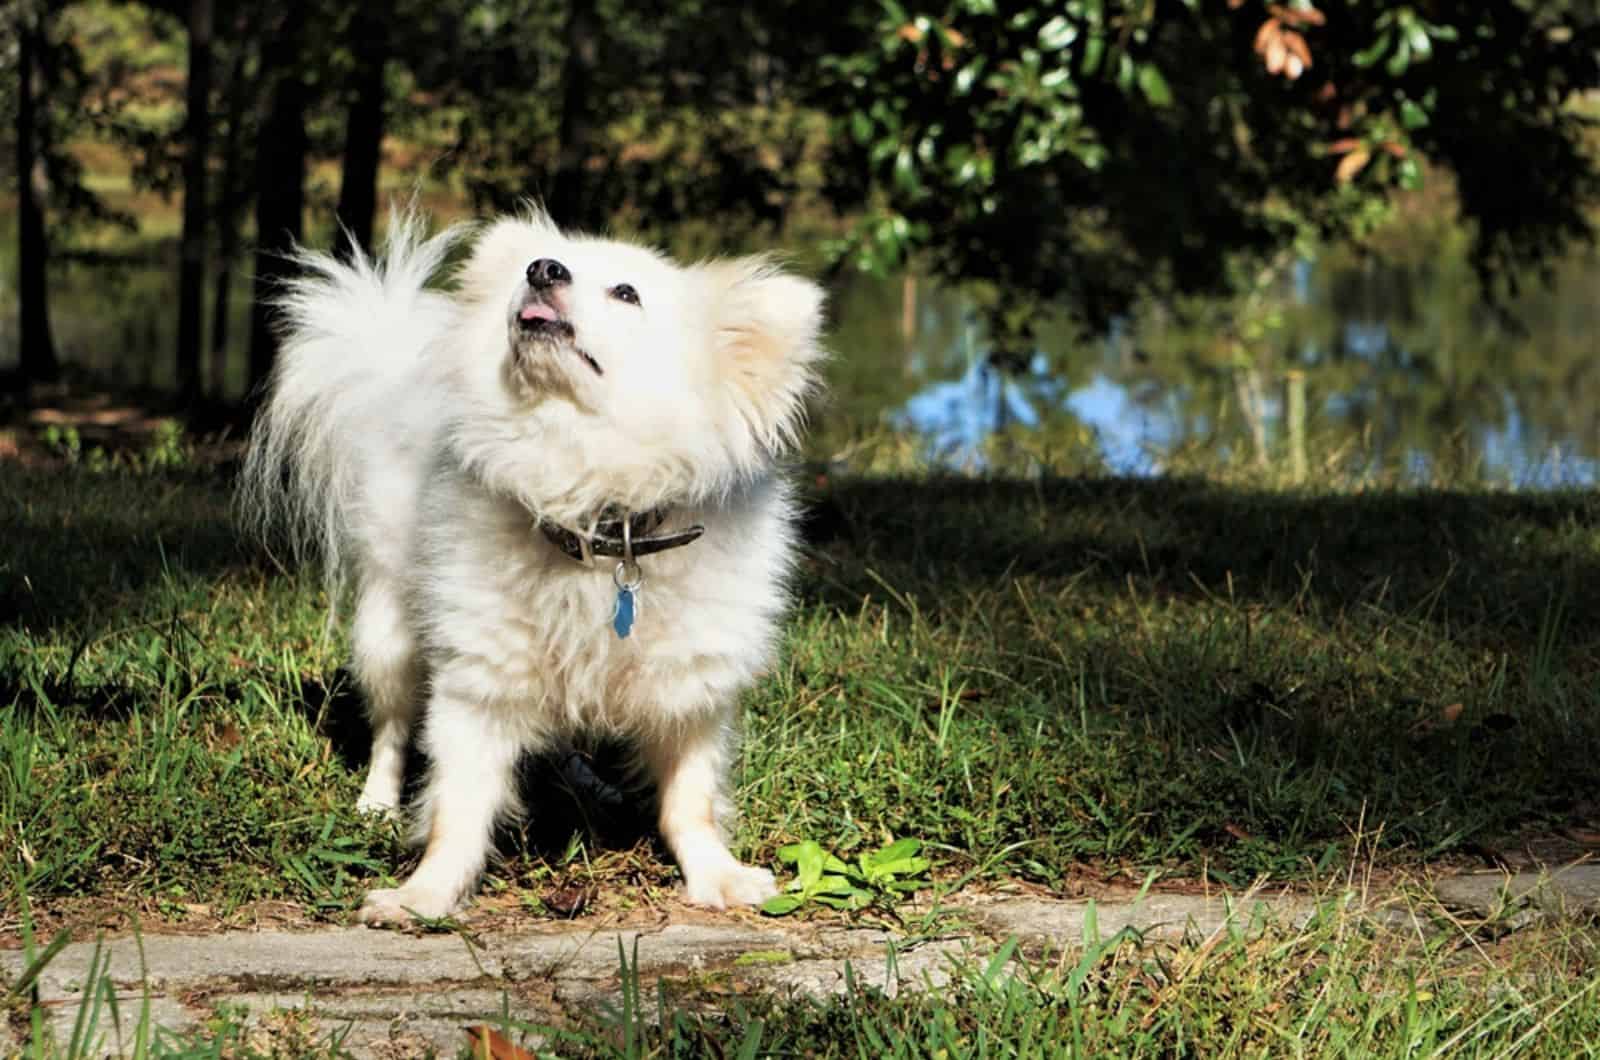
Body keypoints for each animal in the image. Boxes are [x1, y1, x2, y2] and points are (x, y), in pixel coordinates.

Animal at [243, 211, 832, 928]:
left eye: (627, 293)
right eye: (547, 264)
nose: (542, 268)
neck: (599, 517)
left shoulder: (691, 690)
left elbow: (688, 801)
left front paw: (716, 875)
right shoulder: (477, 682)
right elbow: (458, 809)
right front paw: (424, 895)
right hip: (391, 631)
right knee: (391, 728)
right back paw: (376, 805)